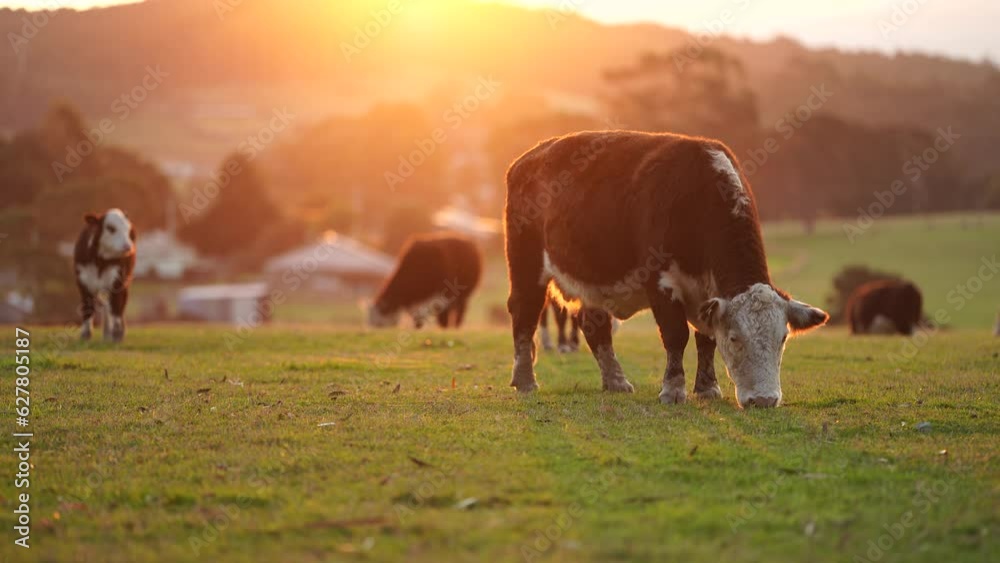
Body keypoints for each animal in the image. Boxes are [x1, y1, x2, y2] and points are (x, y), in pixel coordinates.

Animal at [74, 208, 136, 342]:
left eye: (127, 229)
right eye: (111, 228)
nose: (128, 247)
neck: (100, 261)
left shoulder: (118, 282)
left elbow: (117, 308)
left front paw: (117, 335)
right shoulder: (83, 282)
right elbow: (87, 307)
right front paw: (85, 335)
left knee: (115, 307)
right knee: (106, 306)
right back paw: (106, 334)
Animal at [504, 131, 829, 408]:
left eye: (782, 338)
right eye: (735, 338)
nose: (763, 400)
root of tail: (527, 158)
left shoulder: (707, 297)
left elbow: (706, 339)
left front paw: (707, 388)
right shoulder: (660, 282)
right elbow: (676, 336)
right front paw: (673, 390)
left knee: (594, 326)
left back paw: (616, 381)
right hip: (527, 265)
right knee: (524, 314)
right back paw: (525, 380)